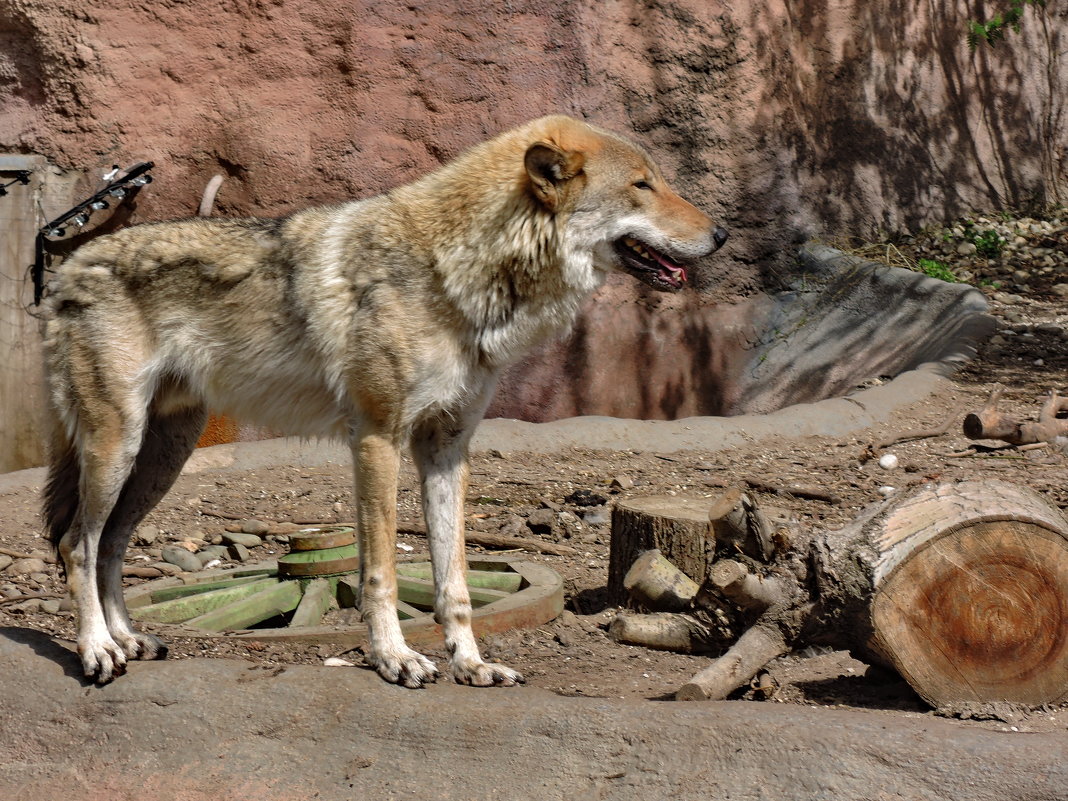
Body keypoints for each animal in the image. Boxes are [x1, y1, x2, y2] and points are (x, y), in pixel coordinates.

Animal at [39, 115, 726, 687]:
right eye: (643, 185)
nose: (722, 233)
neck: (453, 272)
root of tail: (67, 266)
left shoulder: (447, 450)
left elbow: (454, 580)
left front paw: (471, 664)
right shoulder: (376, 439)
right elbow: (383, 574)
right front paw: (395, 658)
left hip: (162, 457)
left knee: (111, 544)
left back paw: (128, 640)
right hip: (117, 447)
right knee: (77, 544)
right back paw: (98, 650)